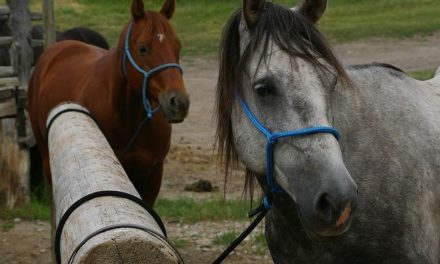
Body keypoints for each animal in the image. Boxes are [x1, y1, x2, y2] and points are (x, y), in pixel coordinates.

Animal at [27, 0, 189, 206]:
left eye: (177, 47)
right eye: (143, 48)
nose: (180, 102)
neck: (128, 119)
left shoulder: (153, 174)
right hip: (46, 157)